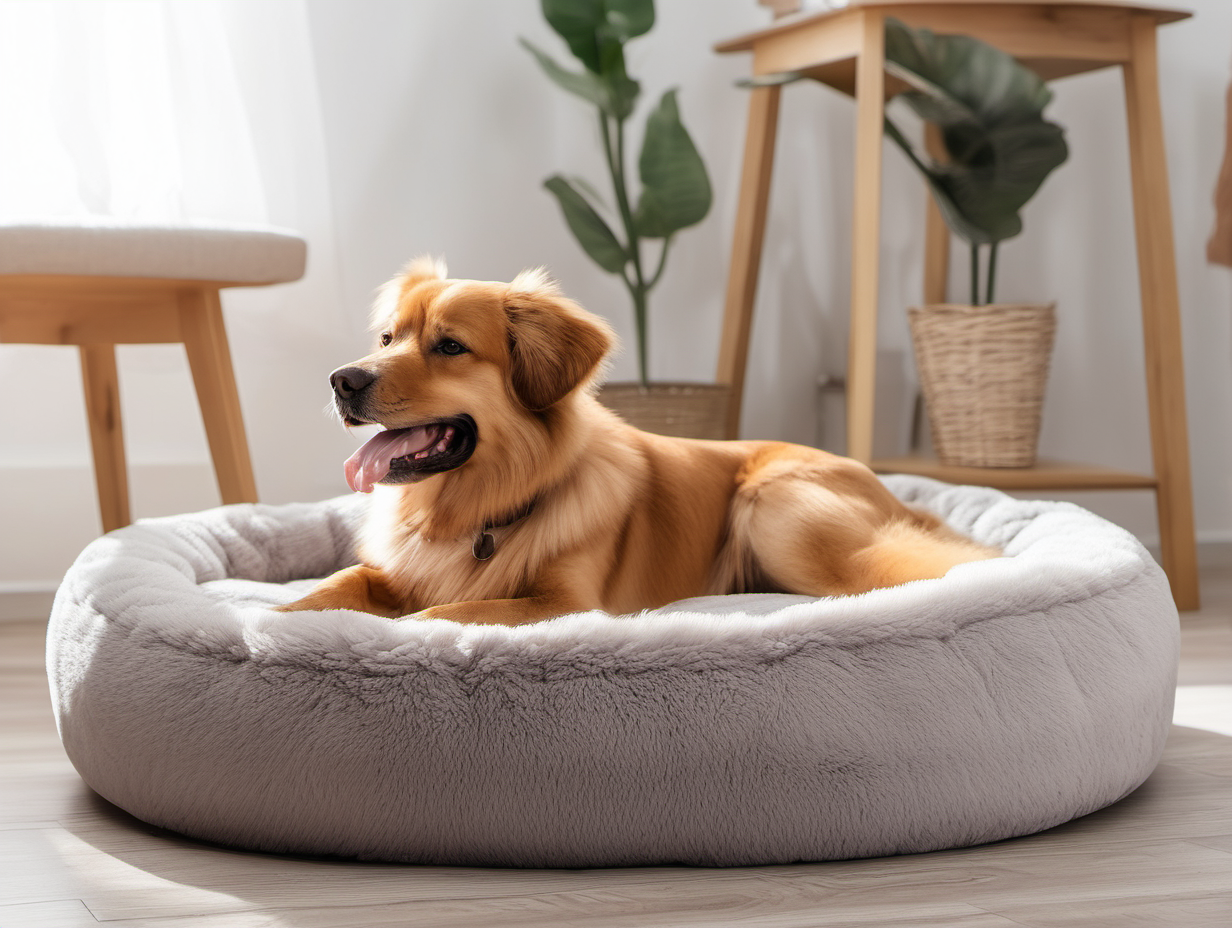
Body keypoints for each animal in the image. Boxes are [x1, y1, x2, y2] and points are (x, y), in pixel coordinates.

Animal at [277, 257, 990, 626]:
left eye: (449, 346)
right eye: (387, 338)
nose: (343, 381)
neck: (468, 511)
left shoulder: (566, 604)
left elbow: (436, 618)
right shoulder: (394, 572)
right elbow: (335, 586)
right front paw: (279, 622)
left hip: (777, 511)